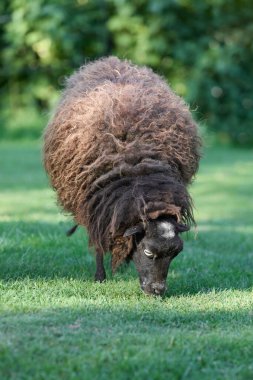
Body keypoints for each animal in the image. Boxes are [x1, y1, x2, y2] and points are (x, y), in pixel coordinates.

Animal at [44, 55, 202, 296]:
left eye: (175, 253)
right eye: (148, 252)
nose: (157, 291)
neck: (140, 174)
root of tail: (112, 60)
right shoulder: (96, 207)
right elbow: (98, 243)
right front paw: (100, 277)